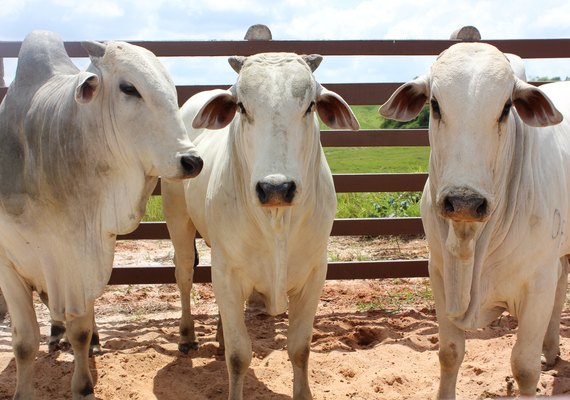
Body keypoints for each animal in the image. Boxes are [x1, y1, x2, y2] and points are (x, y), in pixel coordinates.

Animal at [0, 29, 202, 398]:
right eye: (129, 88)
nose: (191, 161)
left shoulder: (83, 254)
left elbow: (79, 328)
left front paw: (83, 385)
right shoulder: (8, 262)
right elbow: (24, 342)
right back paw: (56, 333)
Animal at [161, 54, 356, 400]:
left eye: (310, 106)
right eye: (242, 107)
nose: (276, 187)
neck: (277, 222)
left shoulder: (315, 273)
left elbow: (300, 348)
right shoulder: (227, 272)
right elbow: (239, 355)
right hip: (178, 220)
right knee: (183, 274)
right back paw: (187, 336)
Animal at [380, 42, 564, 398]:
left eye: (506, 107)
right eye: (435, 104)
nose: (464, 201)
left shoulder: (539, 281)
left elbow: (524, 367)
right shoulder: (439, 273)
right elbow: (449, 352)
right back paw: (550, 350)